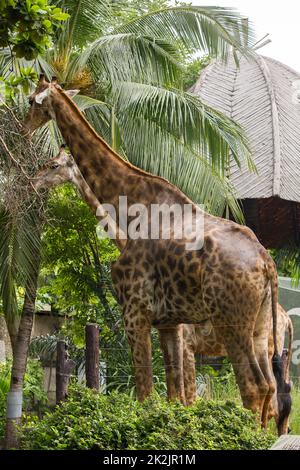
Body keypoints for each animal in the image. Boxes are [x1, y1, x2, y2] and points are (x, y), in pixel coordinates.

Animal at [24, 74, 284, 430]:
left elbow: (145, 392)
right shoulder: (169, 323)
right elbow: (176, 397)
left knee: (254, 387)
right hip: (258, 325)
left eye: (31, 101)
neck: (130, 206)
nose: (32, 183)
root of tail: (266, 263)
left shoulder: (135, 311)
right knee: (270, 389)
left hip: (232, 320)